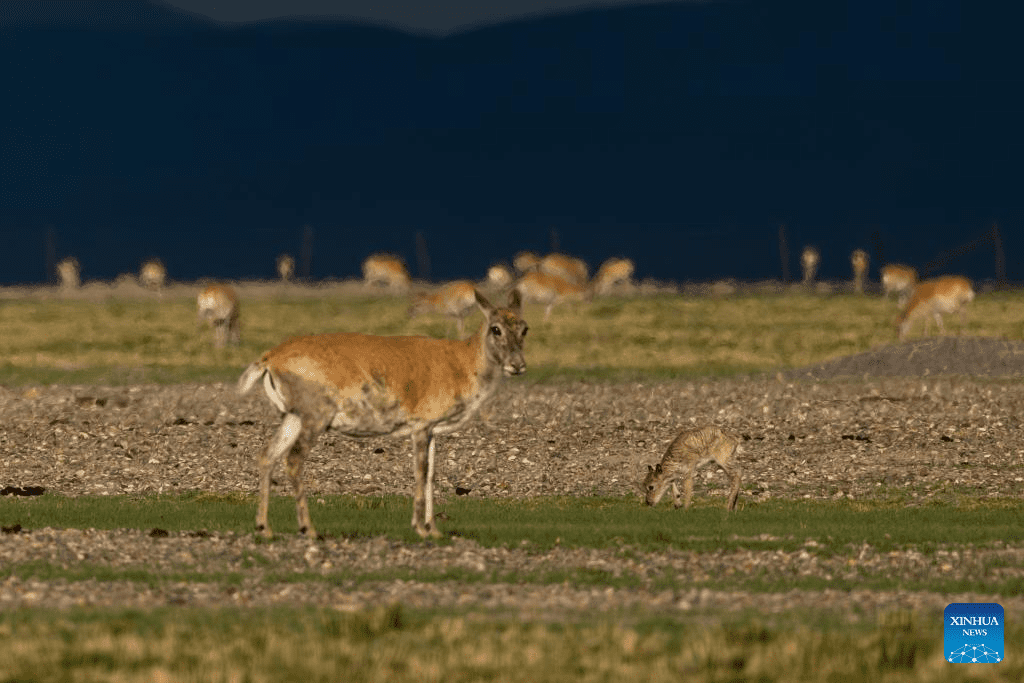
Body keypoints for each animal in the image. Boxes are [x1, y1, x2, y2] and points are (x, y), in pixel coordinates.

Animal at [237, 288, 528, 540]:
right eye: (495, 328)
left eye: (524, 328)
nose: (518, 365)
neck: (462, 364)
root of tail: (270, 358)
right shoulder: (421, 424)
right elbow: (420, 471)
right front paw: (419, 529)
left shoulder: (433, 430)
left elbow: (432, 474)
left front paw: (434, 529)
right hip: (315, 416)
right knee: (293, 459)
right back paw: (308, 529)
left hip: (293, 417)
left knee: (267, 455)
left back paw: (264, 527)